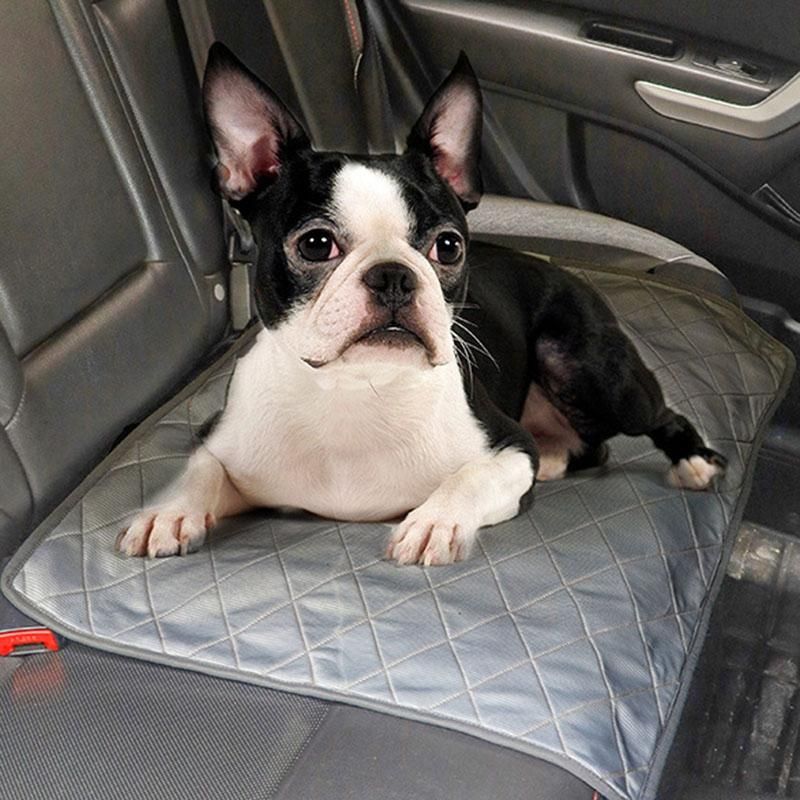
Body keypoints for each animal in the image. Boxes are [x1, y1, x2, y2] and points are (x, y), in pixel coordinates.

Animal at [116, 43, 726, 566]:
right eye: (315, 243)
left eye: (448, 246)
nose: (394, 276)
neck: (356, 393)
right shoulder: (218, 438)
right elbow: (200, 469)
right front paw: (168, 512)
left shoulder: (508, 447)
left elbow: (470, 476)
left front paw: (434, 522)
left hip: (587, 366)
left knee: (657, 415)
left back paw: (692, 460)